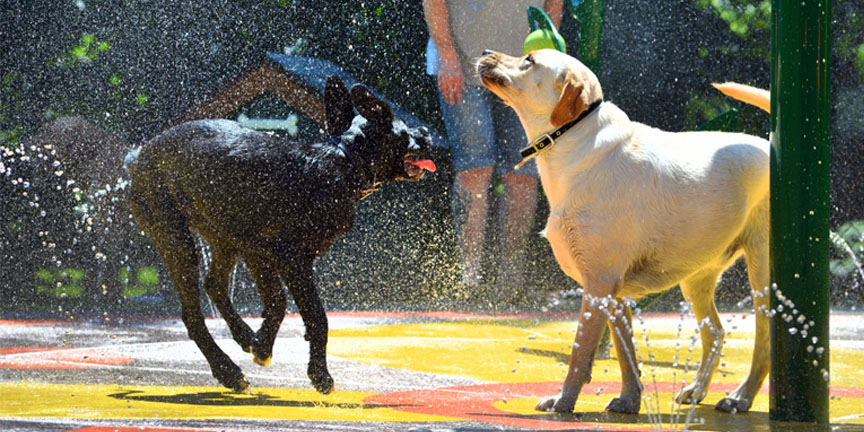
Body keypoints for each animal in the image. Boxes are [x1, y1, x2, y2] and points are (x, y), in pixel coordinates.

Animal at [125, 76, 436, 394]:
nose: (426, 132)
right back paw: (227, 371)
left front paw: (261, 344)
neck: (344, 162)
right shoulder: (289, 258)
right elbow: (313, 316)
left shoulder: (256, 250)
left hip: (222, 236)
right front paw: (318, 374)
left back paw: (243, 336)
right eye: (405, 131)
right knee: (193, 315)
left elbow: (277, 303)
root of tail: (137, 157)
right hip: (175, 238)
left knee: (214, 284)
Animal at [480, 49, 768, 416]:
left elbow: (580, 353)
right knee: (715, 333)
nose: (485, 53)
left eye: (529, 60)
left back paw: (740, 397)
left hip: (762, 274)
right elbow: (625, 352)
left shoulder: (599, 285)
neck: (572, 136)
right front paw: (630, 401)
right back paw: (696, 390)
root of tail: (771, 146)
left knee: (765, 343)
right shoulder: (616, 294)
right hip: (697, 277)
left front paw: (564, 401)